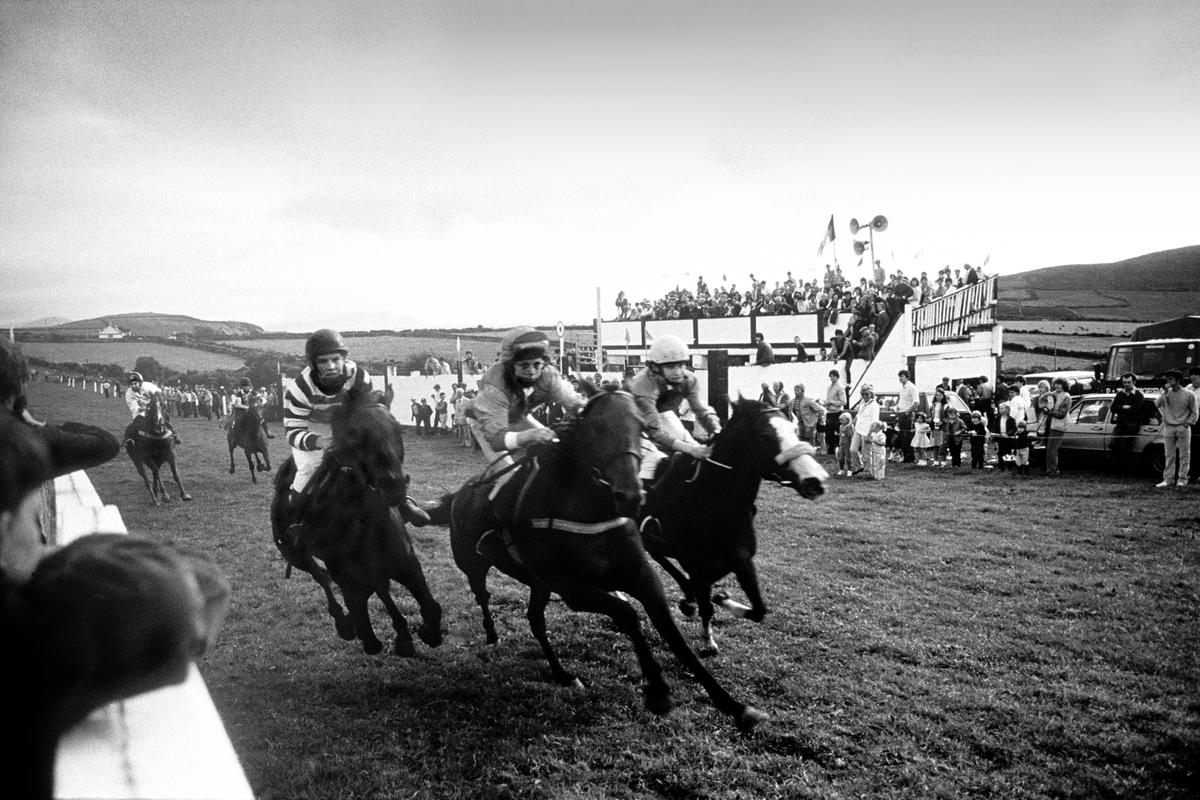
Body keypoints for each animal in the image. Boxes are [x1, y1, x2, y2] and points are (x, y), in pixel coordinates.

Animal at [270, 381, 444, 657]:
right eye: (353, 434)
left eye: (396, 427)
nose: (393, 484)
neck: (363, 520)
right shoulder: (346, 574)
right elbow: (361, 611)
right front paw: (382, 633)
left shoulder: (406, 562)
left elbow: (428, 605)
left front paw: (418, 632)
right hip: (294, 554)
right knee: (320, 577)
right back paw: (343, 622)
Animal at [429, 388, 768, 734]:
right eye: (596, 429)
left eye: (642, 428)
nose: (631, 495)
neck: (591, 514)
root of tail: (457, 496)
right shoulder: (574, 589)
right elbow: (628, 614)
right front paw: (658, 691)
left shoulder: (642, 576)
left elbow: (672, 632)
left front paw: (734, 705)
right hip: (473, 564)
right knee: (482, 595)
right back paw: (492, 634)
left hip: (539, 583)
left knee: (535, 620)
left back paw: (563, 674)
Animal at [643, 398, 830, 652]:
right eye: (765, 436)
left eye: (795, 429)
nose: (815, 480)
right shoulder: (697, 565)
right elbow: (706, 606)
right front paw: (708, 639)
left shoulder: (741, 560)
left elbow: (759, 611)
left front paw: (720, 598)